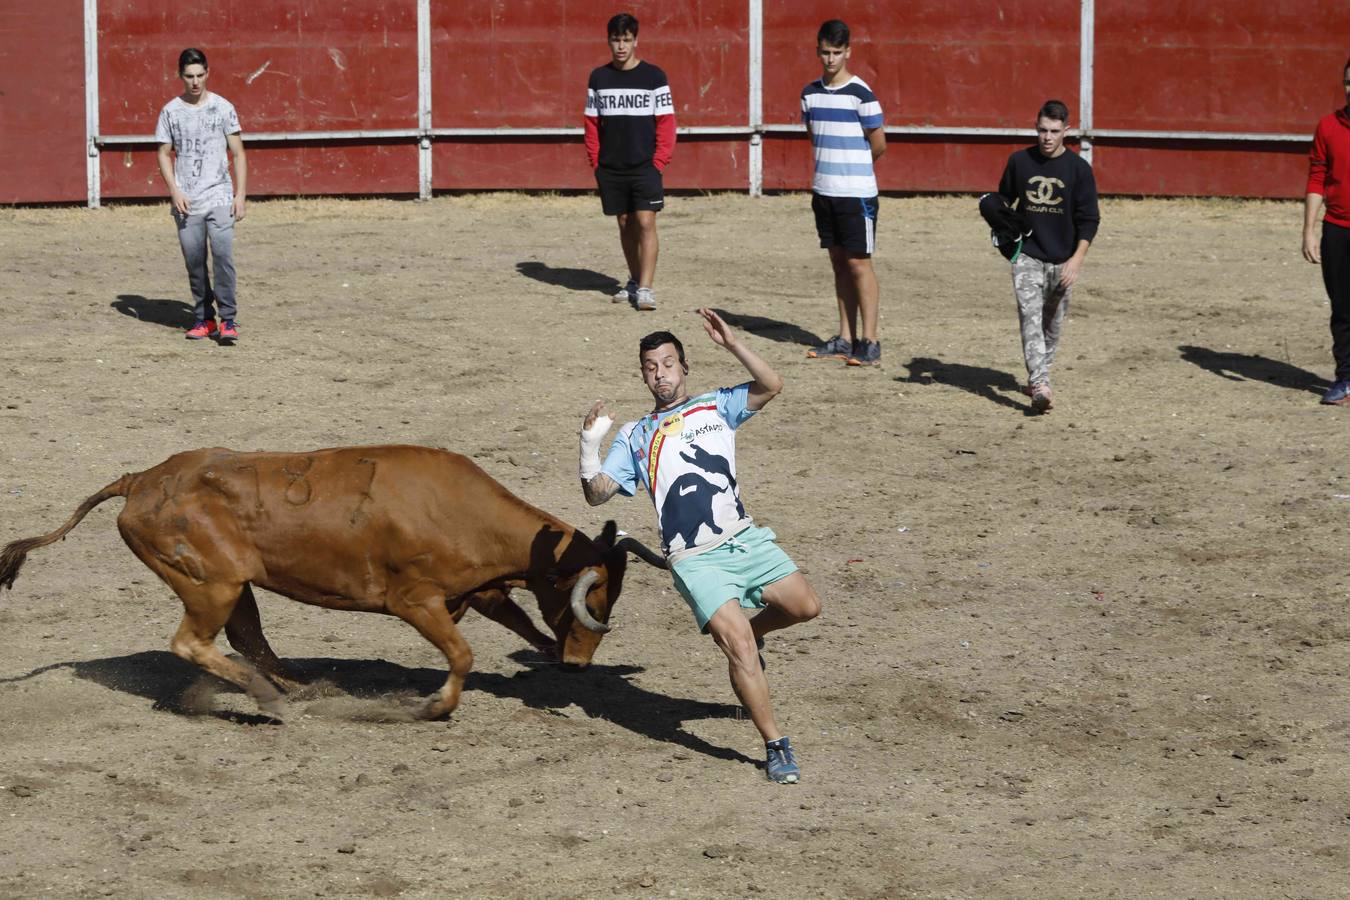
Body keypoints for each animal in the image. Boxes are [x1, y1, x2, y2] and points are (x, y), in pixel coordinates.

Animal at [0, 442, 664, 717]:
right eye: (594, 591)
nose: (580, 663)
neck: (461, 510)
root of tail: (140, 480)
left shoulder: (480, 591)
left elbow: (519, 622)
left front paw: (548, 653)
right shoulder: (416, 601)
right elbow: (462, 655)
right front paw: (435, 705)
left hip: (235, 586)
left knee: (245, 637)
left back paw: (299, 687)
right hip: (210, 584)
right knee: (193, 642)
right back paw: (269, 698)